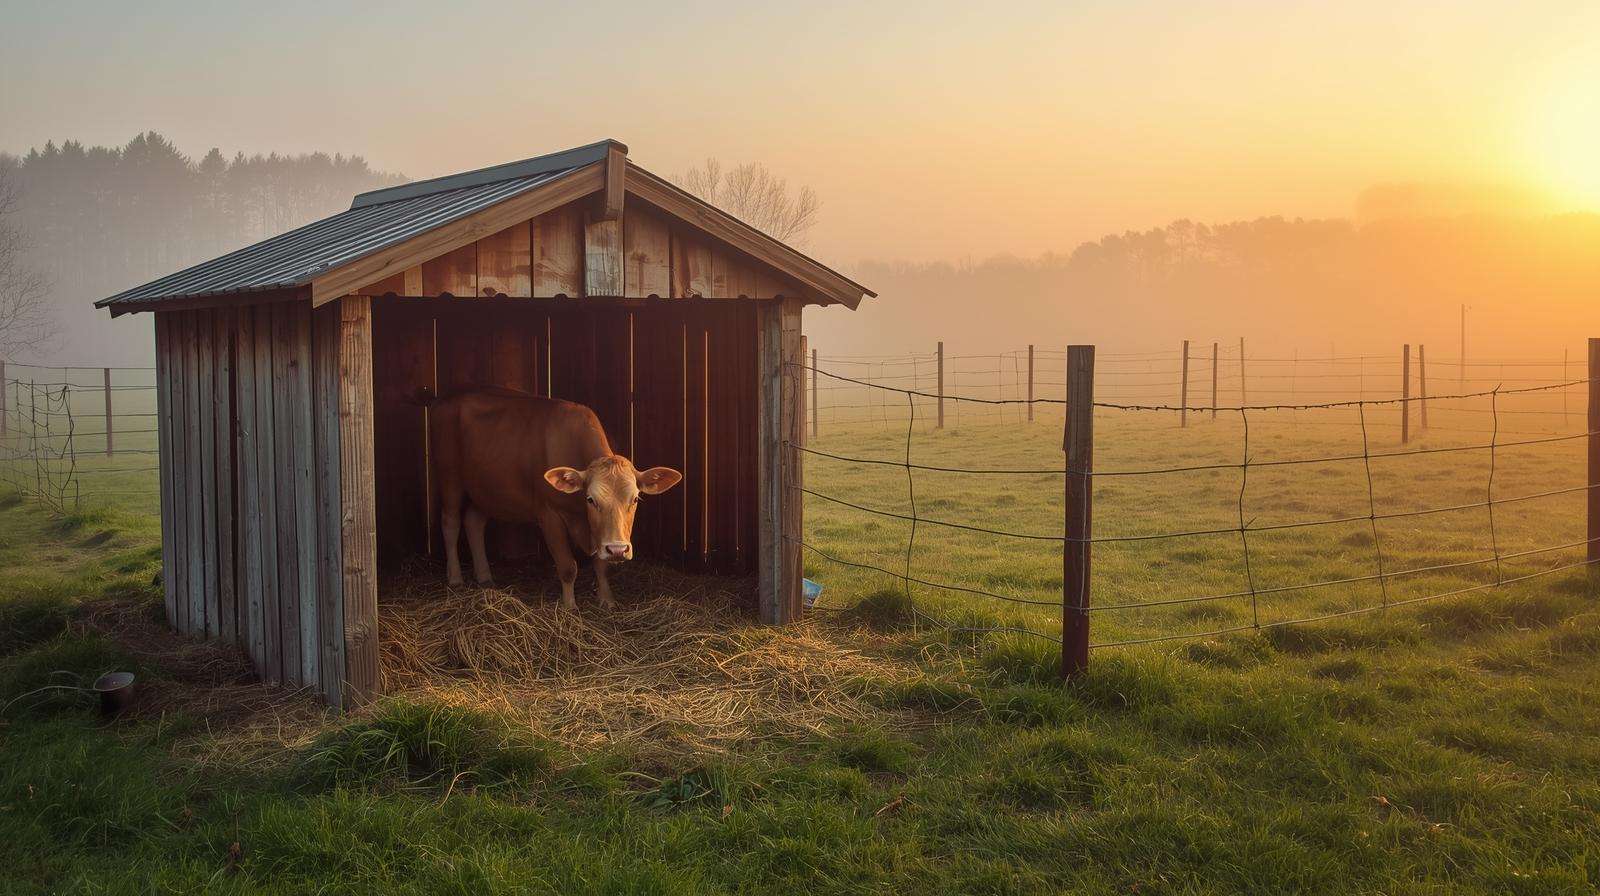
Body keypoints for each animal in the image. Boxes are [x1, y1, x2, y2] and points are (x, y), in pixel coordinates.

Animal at [418, 387, 682, 610]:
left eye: (635, 499)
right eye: (590, 499)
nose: (618, 549)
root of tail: (445, 399)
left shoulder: (599, 533)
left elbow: (601, 564)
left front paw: (607, 599)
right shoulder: (549, 514)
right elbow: (567, 566)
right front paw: (569, 607)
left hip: (486, 488)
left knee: (474, 522)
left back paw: (485, 577)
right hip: (450, 477)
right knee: (450, 522)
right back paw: (455, 578)